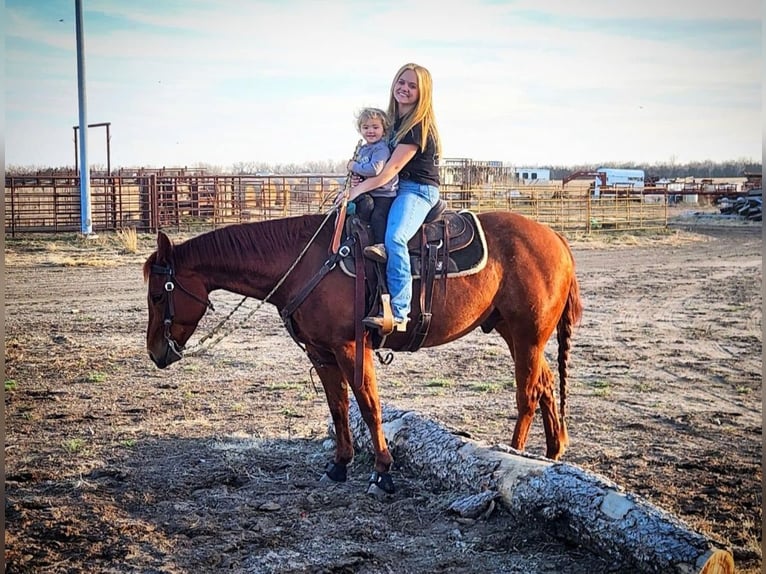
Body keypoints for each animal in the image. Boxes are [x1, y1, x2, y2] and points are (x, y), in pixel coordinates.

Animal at [144, 212, 584, 496]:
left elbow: (369, 406)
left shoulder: (351, 347)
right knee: (546, 384)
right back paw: (553, 454)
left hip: (527, 335)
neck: (304, 262)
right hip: (516, 333)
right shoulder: (321, 352)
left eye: (157, 294)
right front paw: (339, 465)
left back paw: (517, 454)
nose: (155, 353)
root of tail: (558, 240)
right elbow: (339, 407)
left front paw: (382, 473)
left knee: (527, 395)